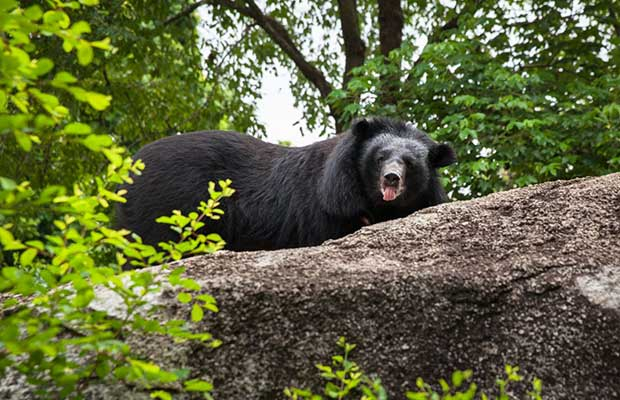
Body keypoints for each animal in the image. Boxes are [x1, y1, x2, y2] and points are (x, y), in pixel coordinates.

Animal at [116, 117, 456, 252]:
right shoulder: (328, 207)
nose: (391, 178)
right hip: (166, 207)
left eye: (409, 163)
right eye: (379, 157)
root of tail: (130, 166)